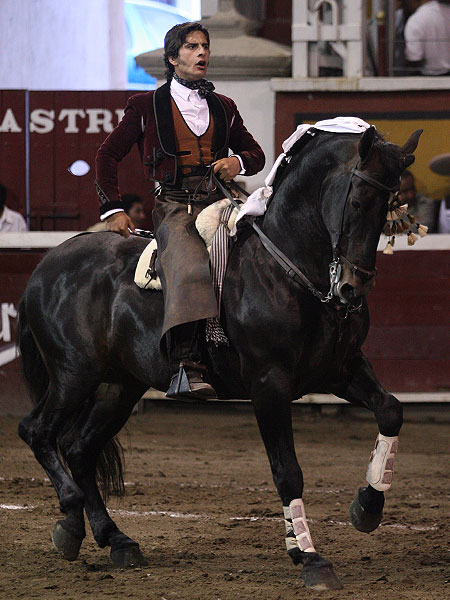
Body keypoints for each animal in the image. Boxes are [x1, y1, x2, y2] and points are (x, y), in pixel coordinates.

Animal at [15, 125, 420, 592]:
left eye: (390, 205)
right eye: (356, 202)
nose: (353, 288)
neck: (289, 268)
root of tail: (47, 264)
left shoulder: (341, 369)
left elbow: (390, 410)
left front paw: (366, 507)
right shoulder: (269, 384)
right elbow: (288, 470)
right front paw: (311, 557)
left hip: (119, 386)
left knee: (79, 447)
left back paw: (115, 539)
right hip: (72, 375)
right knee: (38, 432)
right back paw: (70, 521)